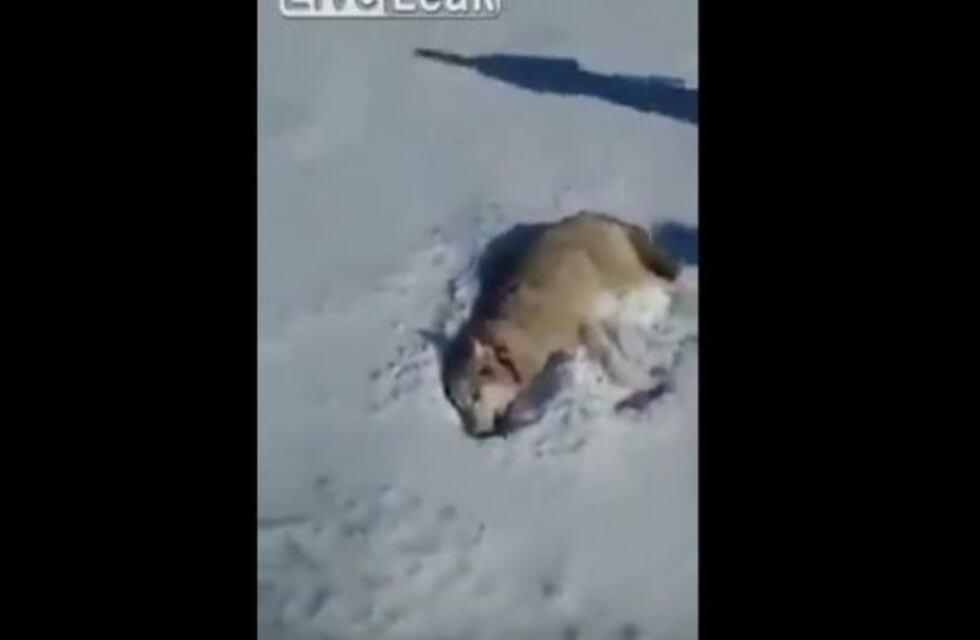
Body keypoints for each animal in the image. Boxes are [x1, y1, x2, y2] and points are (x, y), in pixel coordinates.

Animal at [443, 211, 685, 437]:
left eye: (475, 397)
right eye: (461, 408)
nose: (476, 434)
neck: (518, 339)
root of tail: (594, 215)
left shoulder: (582, 325)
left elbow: (610, 361)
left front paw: (644, 382)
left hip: (625, 276)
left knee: (673, 282)